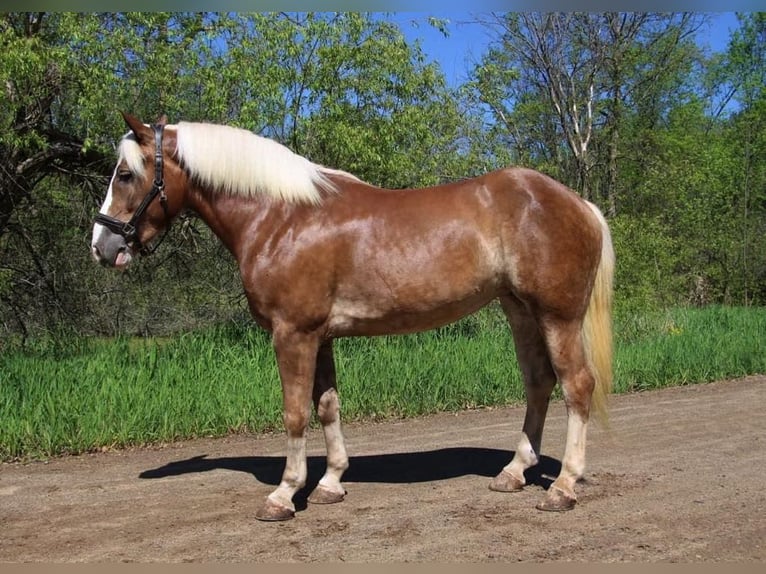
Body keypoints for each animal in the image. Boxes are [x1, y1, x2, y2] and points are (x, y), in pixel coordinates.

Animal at [91, 112, 616, 520]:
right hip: (520, 311)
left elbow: (295, 413)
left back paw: (563, 487)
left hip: (557, 316)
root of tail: (580, 204)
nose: (102, 246)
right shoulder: (319, 336)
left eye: (125, 174)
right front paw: (330, 484)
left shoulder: (293, 334)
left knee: (577, 386)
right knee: (539, 383)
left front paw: (284, 494)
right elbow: (327, 406)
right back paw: (513, 472)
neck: (282, 217)